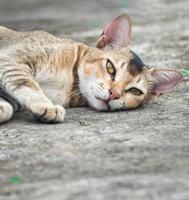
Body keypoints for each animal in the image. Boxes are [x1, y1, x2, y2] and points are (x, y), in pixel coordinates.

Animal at [0, 13, 183, 123]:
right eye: (110, 67)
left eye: (135, 91)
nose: (114, 94)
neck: (70, 85)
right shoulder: (9, 59)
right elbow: (25, 82)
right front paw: (46, 105)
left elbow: (10, 104)